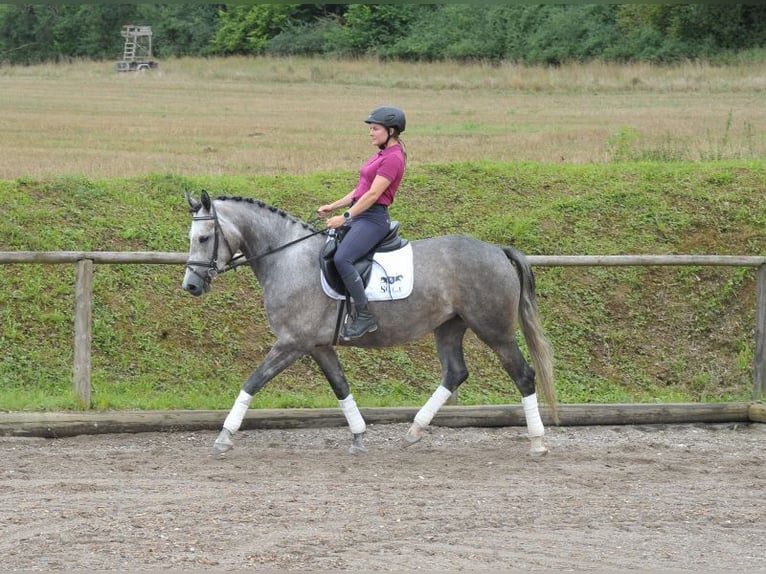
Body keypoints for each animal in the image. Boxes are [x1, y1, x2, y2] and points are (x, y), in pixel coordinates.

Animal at [183, 194, 560, 460]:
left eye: (203, 238)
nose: (191, 286)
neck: (287, 258)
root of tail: (496, 250)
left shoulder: (292, 342)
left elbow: (252, 382)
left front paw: (224, 437)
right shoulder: (318, 346)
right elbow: (341, 387)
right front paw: (359, 437)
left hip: (494, 331)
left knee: (523, 375)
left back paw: (538, 443)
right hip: (449, 326)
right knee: (455, 373)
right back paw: (414, 431)